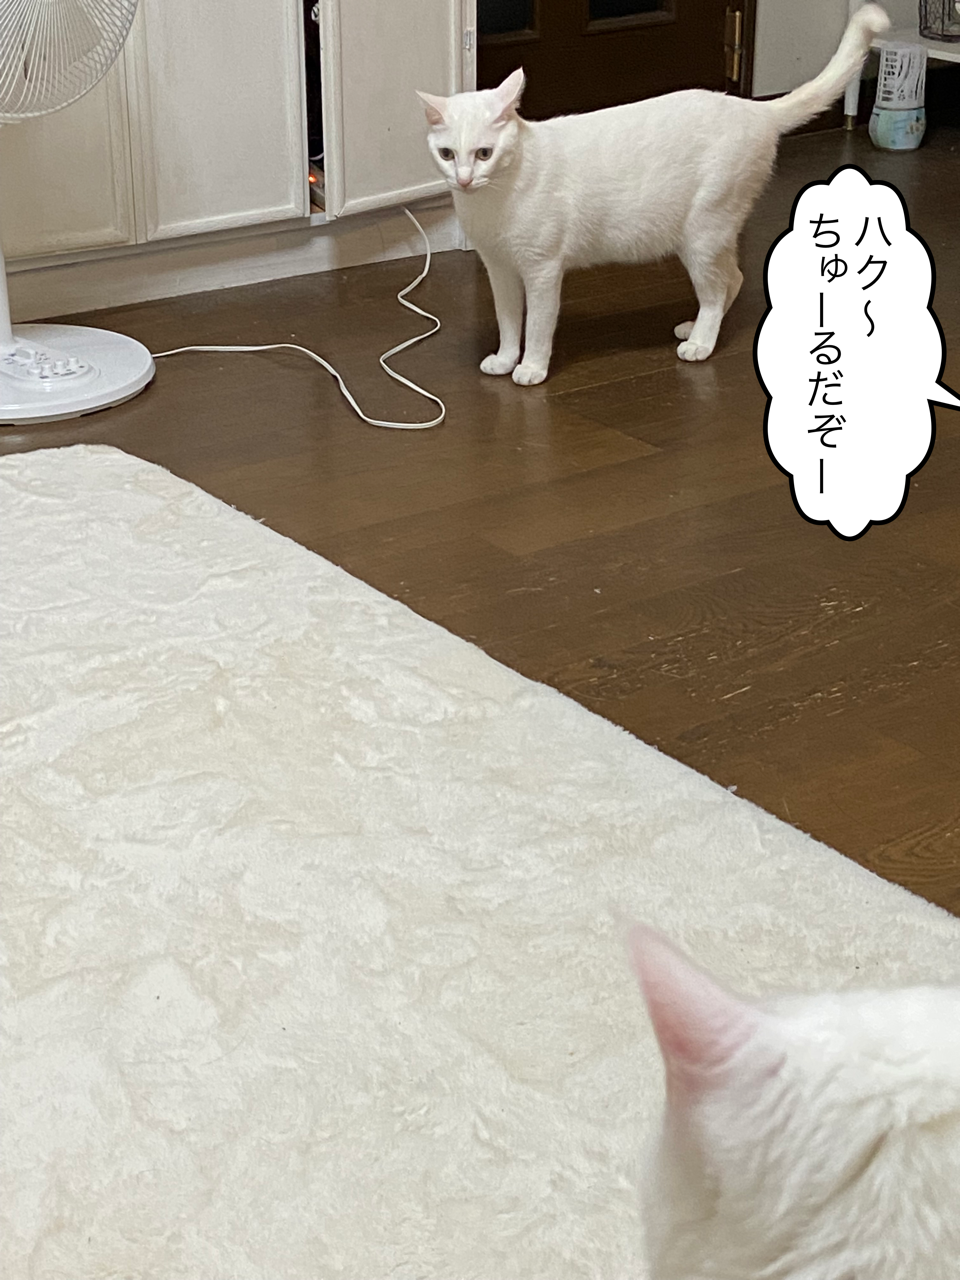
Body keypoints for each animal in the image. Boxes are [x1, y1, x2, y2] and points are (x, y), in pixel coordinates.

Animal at [417, 4, 890, 386]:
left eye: (484, 153)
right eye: (447, 154)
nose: (463, 180)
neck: (491, 201)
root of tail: (754, 108)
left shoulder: (542, 271)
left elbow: (536, 327)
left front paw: (531, 367)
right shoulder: (499, 269)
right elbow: (509, 320)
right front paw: (504, 359)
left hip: (702, 235)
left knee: (717, 288)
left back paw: (700, 343)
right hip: (709, 239)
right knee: (732, 278)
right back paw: (696, 328)